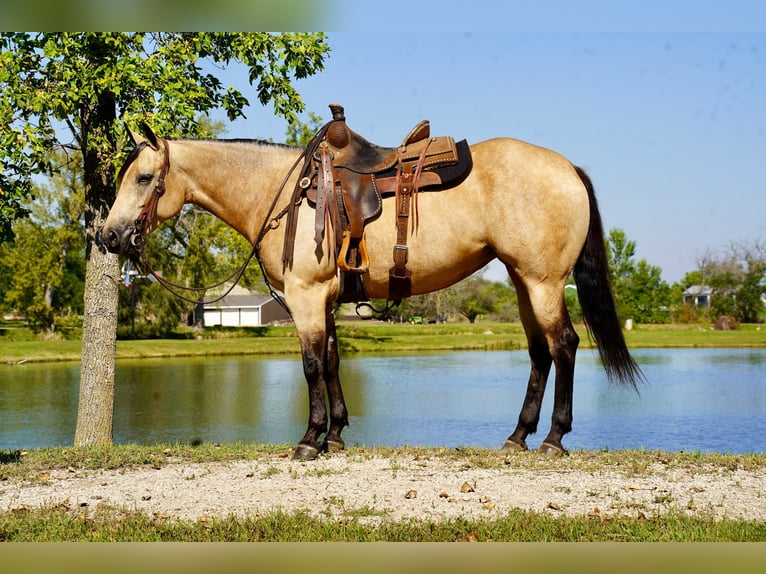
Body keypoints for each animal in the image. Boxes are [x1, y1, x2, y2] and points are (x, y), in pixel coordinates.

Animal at [102, 115, 643, 461]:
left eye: (144, 178)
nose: (109, 236)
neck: (284, 192)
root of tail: (568, 167)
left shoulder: (305, 296)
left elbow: (311, 364)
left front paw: (310, 440)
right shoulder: (324, 299)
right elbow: (333, 361)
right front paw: (336, 435)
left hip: (542, 281)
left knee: (564, 345)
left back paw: (553, 439)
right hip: (522, 280)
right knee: (539, 353)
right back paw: (518, 436)